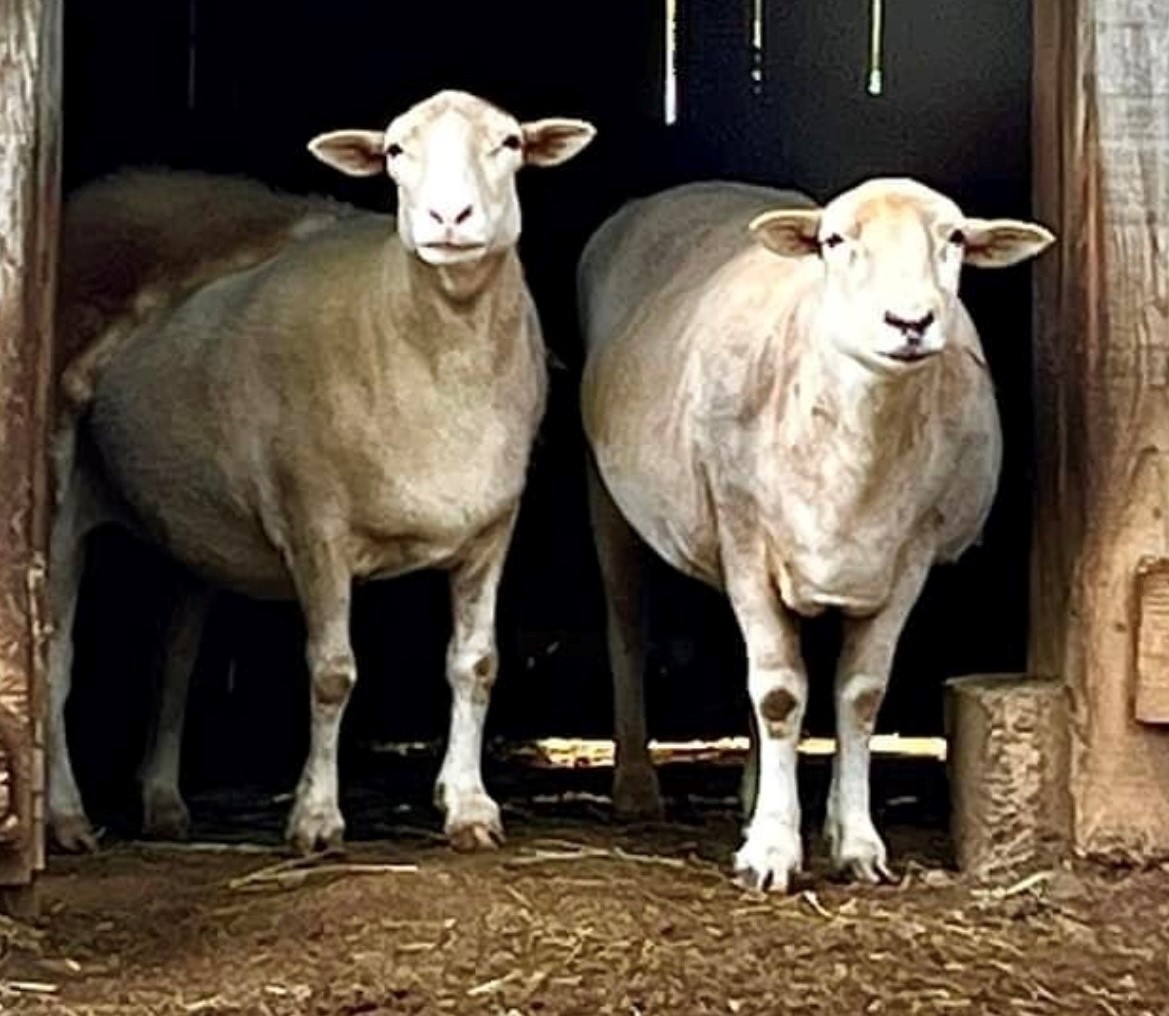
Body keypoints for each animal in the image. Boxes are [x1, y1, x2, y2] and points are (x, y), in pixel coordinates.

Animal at [47, 89, 595, 855]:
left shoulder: (491, 530)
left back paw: (163, 805)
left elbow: (475, 664)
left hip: (190, 528)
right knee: (55, 658)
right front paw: (315, 817)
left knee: (175, 662)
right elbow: (333, 674)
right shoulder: (316, 529)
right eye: (395, 149)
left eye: (510, 143)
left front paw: (468, 806)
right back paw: (66, 816)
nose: (448, 218)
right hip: (60, 495)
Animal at [578, 178, 1053, 891]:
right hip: (613, 496)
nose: (909, 322)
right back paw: (636, 785)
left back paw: (756, 792)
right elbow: (779, 694)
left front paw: (854, 841)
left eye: (955, 238)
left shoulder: (909, 557)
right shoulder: (743, 533)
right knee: (627, 629)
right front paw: (772, 850)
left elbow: (857, 696)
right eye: (833, 240)